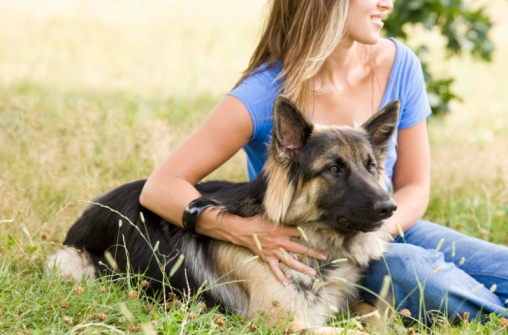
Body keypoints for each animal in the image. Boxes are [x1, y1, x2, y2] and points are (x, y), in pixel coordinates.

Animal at [45, 96, 398, 334]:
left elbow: (377, 313)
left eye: (371, 167)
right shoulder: (282, 322)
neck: (315, 246)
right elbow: (352, 330)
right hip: (70, 263)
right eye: (334, 169)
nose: (389, 208)